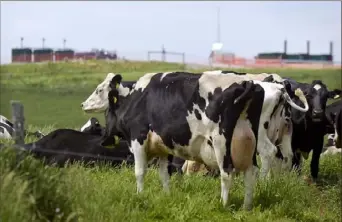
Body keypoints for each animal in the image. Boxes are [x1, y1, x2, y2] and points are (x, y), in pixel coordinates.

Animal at [81, 72, 308, 210]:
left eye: (99, 90)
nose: (83, 104)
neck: (136, 97)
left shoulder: (138, 139)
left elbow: (139, 172)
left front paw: (140, 195)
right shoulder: (163, 147)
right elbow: (164, 174)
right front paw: (166, 196)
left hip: (223, 141)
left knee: (229, 172)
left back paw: (224, 204)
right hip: (252, 141)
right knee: (256, 170)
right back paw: (247, 206)